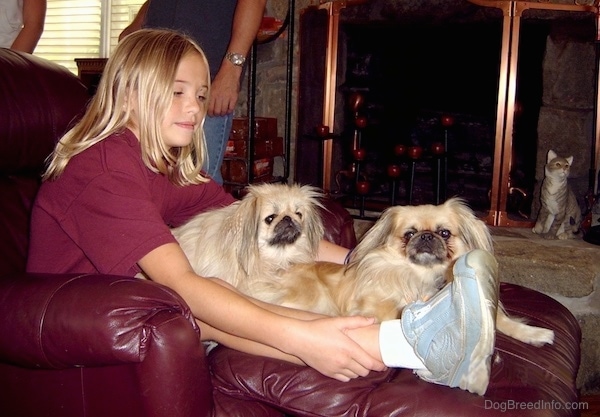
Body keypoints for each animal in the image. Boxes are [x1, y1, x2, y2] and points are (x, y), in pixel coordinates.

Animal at [246, 197, 556, 346]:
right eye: (409, 234)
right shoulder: (377, 306)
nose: (427, 236)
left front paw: (533, 334)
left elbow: (501, 321)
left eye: (444, 233)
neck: (424, 276)